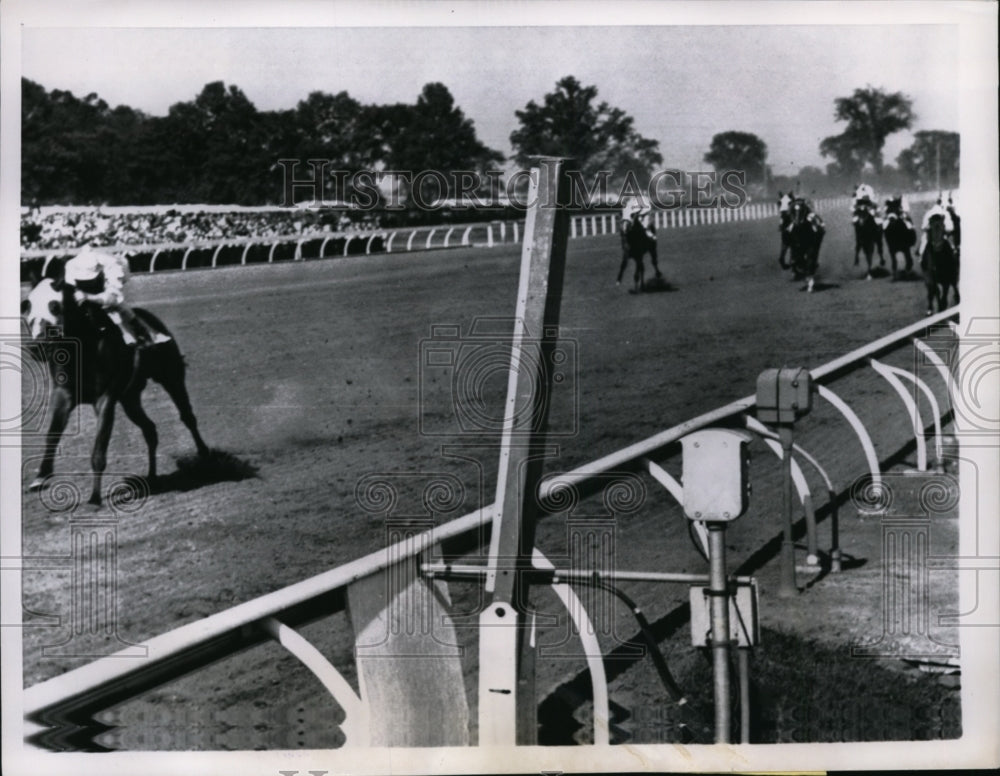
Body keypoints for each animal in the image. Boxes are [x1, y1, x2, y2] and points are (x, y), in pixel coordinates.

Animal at [20, 276, 208, 506]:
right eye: (27, 306)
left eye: (54, 306)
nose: (37, 346)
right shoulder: (63, 395)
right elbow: (52, 435)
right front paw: (41, 477)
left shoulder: (105, 399)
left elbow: (99, 450)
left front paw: (94, 498)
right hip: (130, 399)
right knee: (150, 430)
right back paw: (152, 476)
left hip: (171, 378)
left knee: (187, 417)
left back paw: (204, 454)